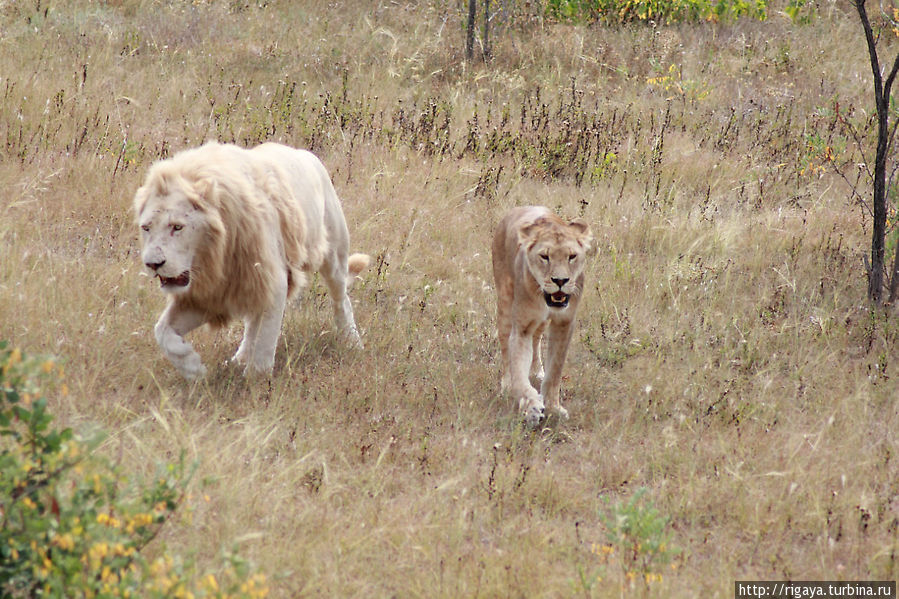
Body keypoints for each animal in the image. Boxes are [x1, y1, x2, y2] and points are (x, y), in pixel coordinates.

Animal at [133, 141, 370, 380]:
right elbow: (162, 331)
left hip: (333, 255)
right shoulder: (208, 296)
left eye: (177, 227)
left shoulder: (272, 281)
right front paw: (193, 369)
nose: (153, 264)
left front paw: (257, 380)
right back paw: (240, 358)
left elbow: (265, 340)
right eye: (146, 228)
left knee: (341, 299)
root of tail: (307, 155)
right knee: (252, 322)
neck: (214, 257)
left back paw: (351, 341)